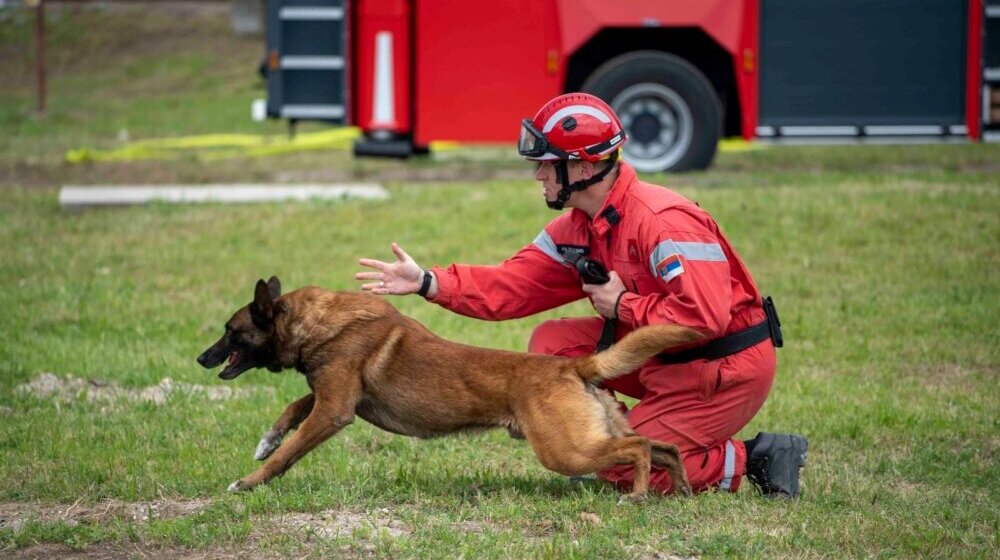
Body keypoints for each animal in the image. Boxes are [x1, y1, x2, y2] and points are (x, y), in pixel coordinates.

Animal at [197, 278, 704, 500]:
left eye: (230, 331)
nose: (202, 358)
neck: (316, 321)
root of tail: (573, 366)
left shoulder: (335, 409)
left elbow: (290, 451)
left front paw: (249, 481)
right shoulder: (335, 398)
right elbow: (294, 407)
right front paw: (267, 440)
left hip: (566, 451)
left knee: (640, 447)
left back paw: (638, 494)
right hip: (594, 434)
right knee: (664, 447)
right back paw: (678, 489)